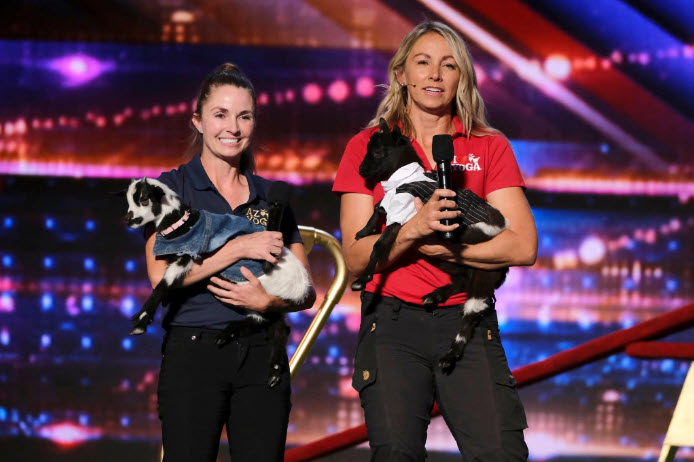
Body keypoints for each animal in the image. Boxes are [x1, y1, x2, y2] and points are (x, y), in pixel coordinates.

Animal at [122, 177, 312, 386]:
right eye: (128, 200)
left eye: (144, 199)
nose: (128, 220)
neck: (182, 224)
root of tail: (302, 286)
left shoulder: (186, 257)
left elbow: (163, 285)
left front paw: (141, 321)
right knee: (276, 326)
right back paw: (270, 367)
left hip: (257, 292)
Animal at [354, 118, 512, 372]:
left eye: (378, 152)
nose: (360, 170)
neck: (403, 180)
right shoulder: (391, 205)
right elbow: (376, 211)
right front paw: (362, 232)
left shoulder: (402, 215)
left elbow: (379, 245)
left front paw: (361, 280)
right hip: (448, 259)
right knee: (462, 280)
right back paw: (435, 296)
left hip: (485, 270)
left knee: (470, 313)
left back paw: (450, 356)